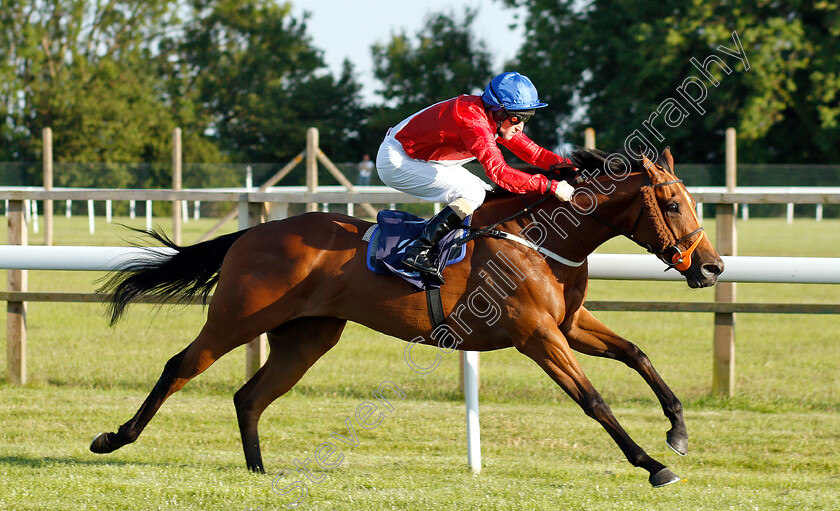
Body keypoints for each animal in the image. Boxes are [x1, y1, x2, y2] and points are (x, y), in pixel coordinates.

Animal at [90, 147, 720, 488]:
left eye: (693, 201)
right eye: (671, 203)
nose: (711, 267)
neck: (540, 240)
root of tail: (253, 232)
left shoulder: (568, 325)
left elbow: (636, 353)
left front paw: (678, 431)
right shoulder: (537, 336)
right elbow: (593, 400)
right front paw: (652, 464)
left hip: (308, 337)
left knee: (250, 395)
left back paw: (259, 471)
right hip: (236, 319)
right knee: (180, 366)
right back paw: (114, 438)